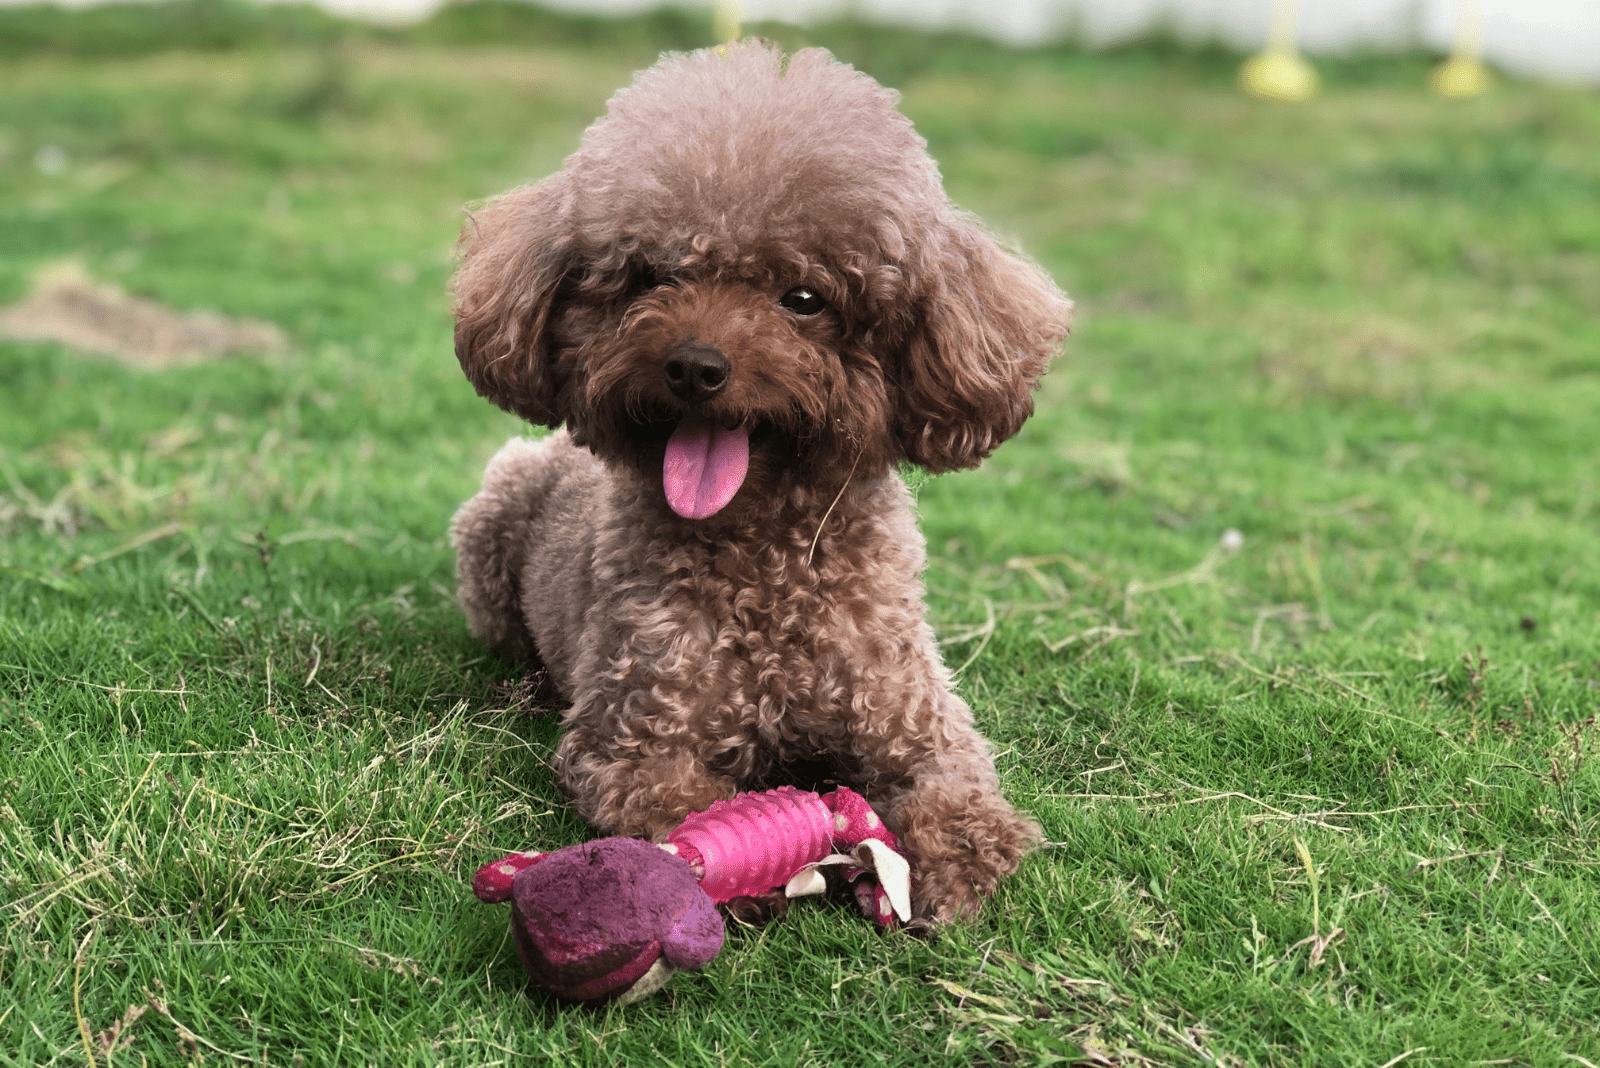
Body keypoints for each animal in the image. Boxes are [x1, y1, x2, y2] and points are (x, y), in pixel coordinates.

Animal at [451, 43, 1068, 927]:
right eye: (650, 277)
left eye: (804, 299)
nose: (694, 365)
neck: (765, 553)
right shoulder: (635, 739)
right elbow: (684, 818)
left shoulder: (916, 712)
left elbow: (956, 785)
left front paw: (953, 857)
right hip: (492, 521)